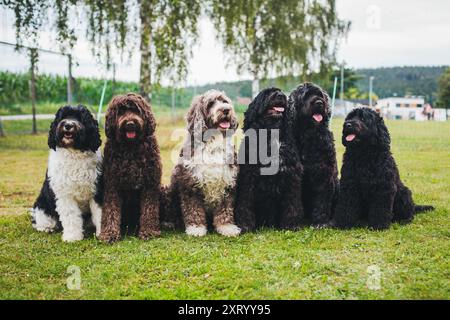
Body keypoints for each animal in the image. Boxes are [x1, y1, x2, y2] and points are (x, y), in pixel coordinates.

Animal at [31, 105, 103, 242]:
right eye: (63, 117)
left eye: (80, 118)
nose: (68, 125)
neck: (74, 153)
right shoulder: (65, 195)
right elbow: (71, 216)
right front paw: (72, 237)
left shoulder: (97, 191)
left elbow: (100, 214)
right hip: (42, 205)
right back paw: (46, 228)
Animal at [167, 89, 241, 236]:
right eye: (210, 103)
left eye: (225, 101)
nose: (226, 110)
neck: (212, 142)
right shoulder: (190, 183)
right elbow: (193, 209)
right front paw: (196, 228)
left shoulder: (228, 182)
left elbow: (225, 209)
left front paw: (226, 227)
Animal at [234, 87, 304, 232]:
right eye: (267, 93)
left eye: (280, 92)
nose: (281, 95)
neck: (271, 134)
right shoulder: (249, 177)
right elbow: (245, 203)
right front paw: (245, 225)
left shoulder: (291, 177)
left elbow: (292, 204)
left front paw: (292, 225)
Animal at [288, 84, 338, 226]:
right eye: (306, 96)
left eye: (320, 95)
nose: (319, 103)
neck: (308, 136)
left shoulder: (323, 174)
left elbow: (322, 201)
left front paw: (320, 221)